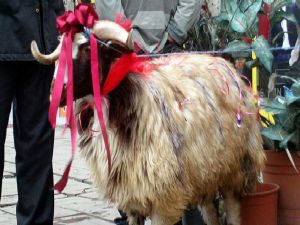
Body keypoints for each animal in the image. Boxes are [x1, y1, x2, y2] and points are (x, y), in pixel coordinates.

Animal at [31, 19, 264, 225]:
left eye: (88, 49)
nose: (56, 92)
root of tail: (225, 65)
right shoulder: (131, 193)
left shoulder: (163, 195)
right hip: (204, 171)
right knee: (211, 214)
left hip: (236, 167)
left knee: (232, 211)